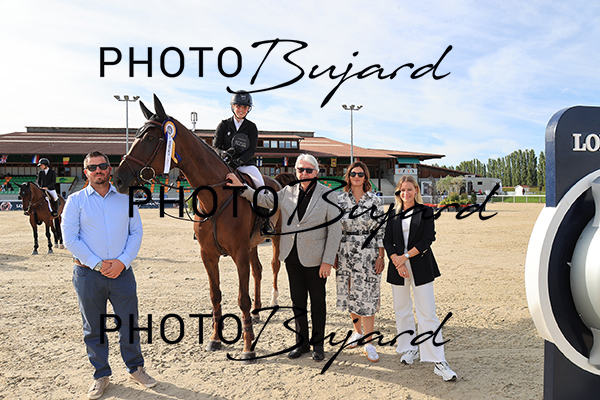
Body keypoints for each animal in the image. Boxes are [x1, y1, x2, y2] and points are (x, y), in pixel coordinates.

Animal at [113, 94, 285, 362]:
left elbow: (242, 298)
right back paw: (257, 312)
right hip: (252, 244)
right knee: (257, 270)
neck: (218, 194)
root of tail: (275, 180)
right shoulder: (209, 255)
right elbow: (215, 295)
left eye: (150, 138)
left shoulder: (239, 253)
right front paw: (215, 339)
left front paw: (248, 347)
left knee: (274, 264)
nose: (118, 179)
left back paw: (271, 303)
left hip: (274, 237)